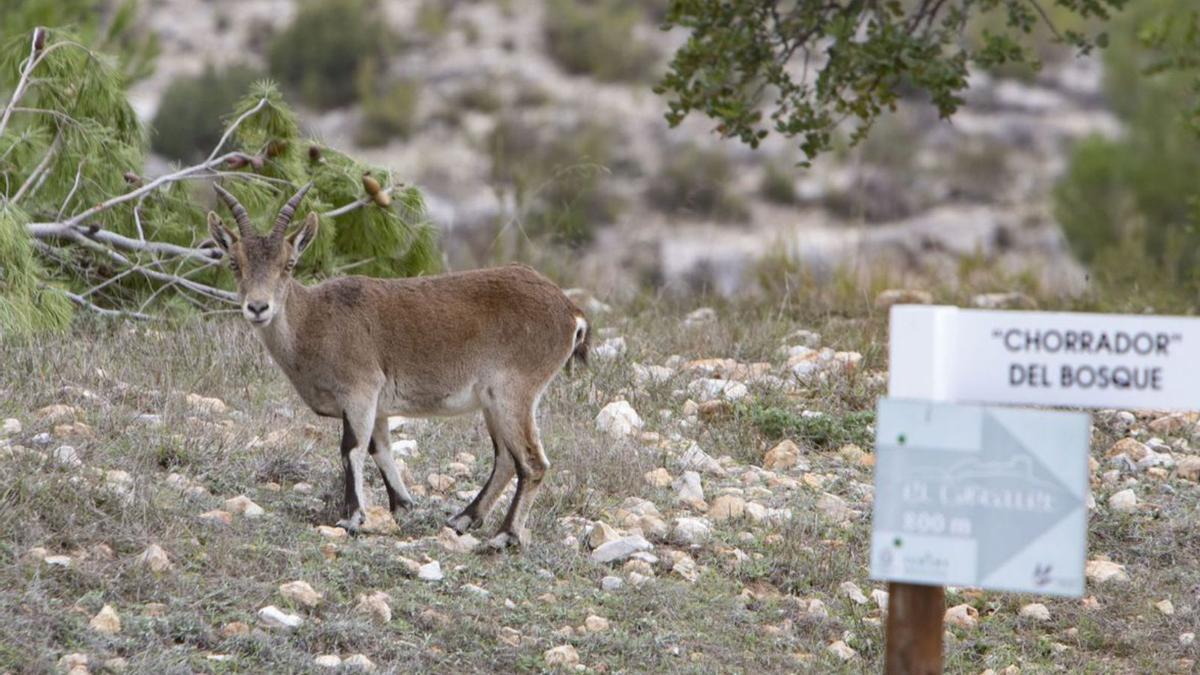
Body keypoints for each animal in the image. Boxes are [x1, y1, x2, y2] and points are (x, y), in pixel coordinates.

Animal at [207, 182, 590, 547]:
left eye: (288, 264)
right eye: (234, 264)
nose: (258, 308)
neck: (313, 321)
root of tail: (570, 311)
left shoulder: (360, 390)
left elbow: (351, 449)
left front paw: (352, 517)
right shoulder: (376, 406)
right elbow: (379, 448)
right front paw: (402, 505)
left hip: (514, 392)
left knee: (532, 462)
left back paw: (504, 536)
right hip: (493, 401)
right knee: (507, 459)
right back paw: (463, 519)